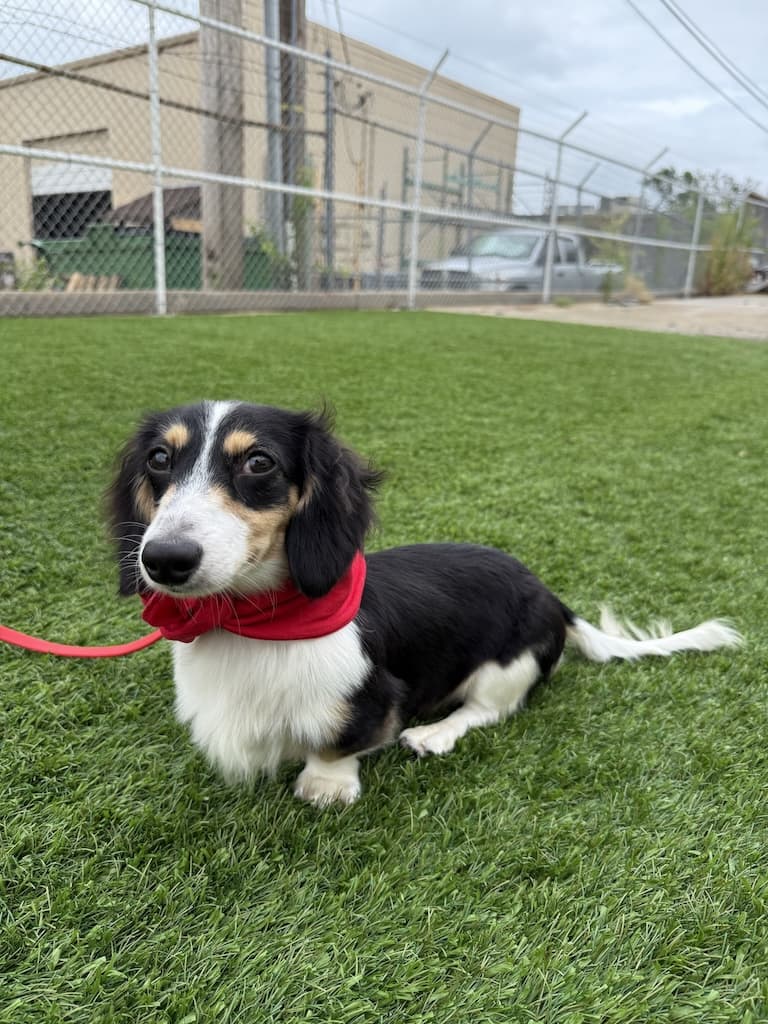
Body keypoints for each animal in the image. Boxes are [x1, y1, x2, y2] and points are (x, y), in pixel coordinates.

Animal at [109, 400, 742, 806]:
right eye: (160, 459)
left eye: (259, 462)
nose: (164, 559)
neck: (258, 625)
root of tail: (550, 595)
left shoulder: (373, 700)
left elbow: (337, 744)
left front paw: (326, 787)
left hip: (508, 666)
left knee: (490, 710)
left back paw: (434, 735)